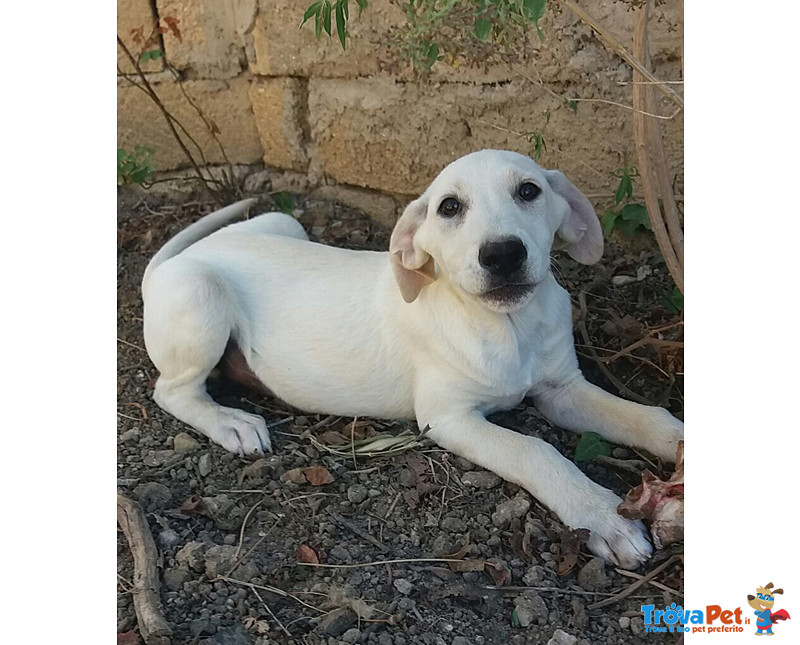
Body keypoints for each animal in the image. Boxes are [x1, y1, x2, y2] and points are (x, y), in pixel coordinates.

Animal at [142, 148, 680, 568]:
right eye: (449, 207)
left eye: (529, 191)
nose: (502, 254)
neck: (507, 326)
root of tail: (169, 263)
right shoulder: (449, 418)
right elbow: (536, 451)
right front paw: (603, 516)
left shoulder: (562, 389)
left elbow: (646, 416)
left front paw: (678, 443)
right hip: (201, 292)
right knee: (172, 391)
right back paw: (231, 422)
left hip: (284, 222)